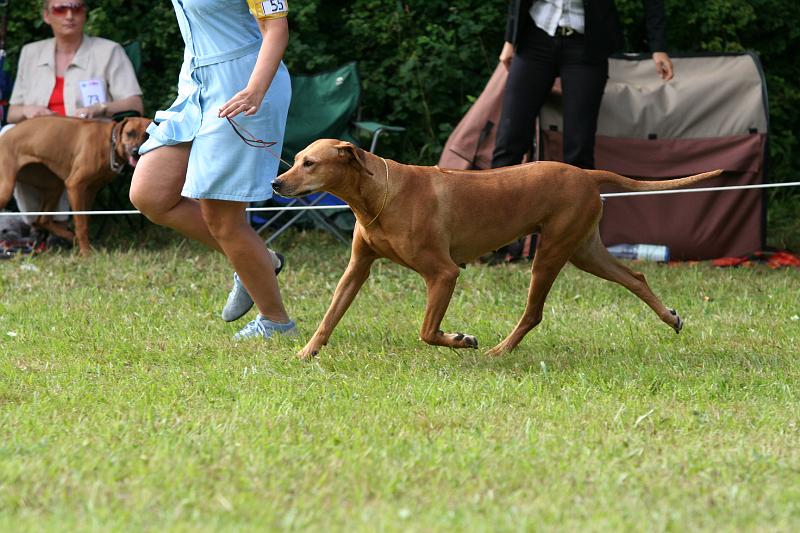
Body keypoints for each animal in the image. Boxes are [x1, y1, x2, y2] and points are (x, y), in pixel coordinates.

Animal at [0, 114, 150, 254]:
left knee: (41, 220)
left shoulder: (90, 190)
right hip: (6, 189)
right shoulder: (75, 186)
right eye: (130, 133)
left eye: (147, 135)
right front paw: (86, 252)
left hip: (54, 185)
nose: (136, 152)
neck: (109, 144)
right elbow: (81, 223)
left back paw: (68, 236)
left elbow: (86, 219)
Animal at [272, 139, 720, 360]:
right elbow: (330, 315)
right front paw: (307, 352)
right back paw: (669, 317)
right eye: (296, 159)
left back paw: (499, 350)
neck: (378, 195)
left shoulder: (443, 273)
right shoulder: (357, 267)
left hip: (551, 252)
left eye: (310, 163)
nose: (276, 183)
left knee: (534, 313)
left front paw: (460, 339)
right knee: (636, 276)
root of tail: (585, 173)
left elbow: (427, 331)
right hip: (584, 250)